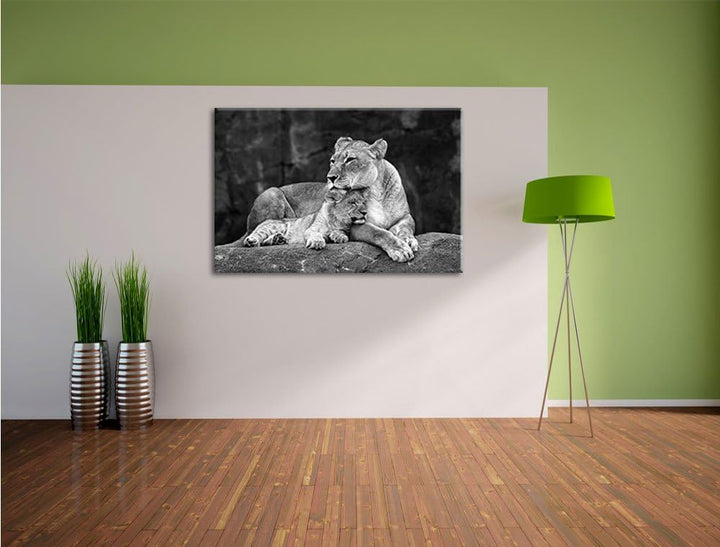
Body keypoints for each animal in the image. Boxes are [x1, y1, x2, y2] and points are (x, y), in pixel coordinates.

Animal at [241, 137, 418, 262]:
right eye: (333, 161)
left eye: (350, 159)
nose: (330, 177)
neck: (376, 191)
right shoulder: (356, 225)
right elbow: (379, 233)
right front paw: (400, 250)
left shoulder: (405, 217)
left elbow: (407, 228)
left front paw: (409, 241)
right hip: (272, 193)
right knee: (256, 232)